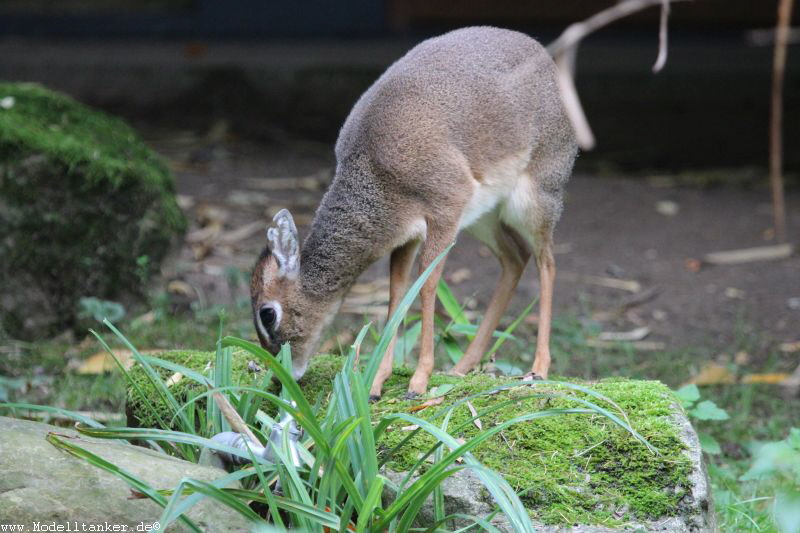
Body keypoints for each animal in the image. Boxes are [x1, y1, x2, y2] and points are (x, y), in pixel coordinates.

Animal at [250, 27, 576, 396]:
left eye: (267, 313)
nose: (280, 377)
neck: (375, 168)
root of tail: (544, 56)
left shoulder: (445, 210)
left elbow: (428, 284)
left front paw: (418, 380)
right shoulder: (406, 234)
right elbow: (398, 292)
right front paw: (377, 381)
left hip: (534, 201)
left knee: (547, 262)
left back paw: (538, 369)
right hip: (483, 217)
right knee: (515, 257)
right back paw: (460, 368)